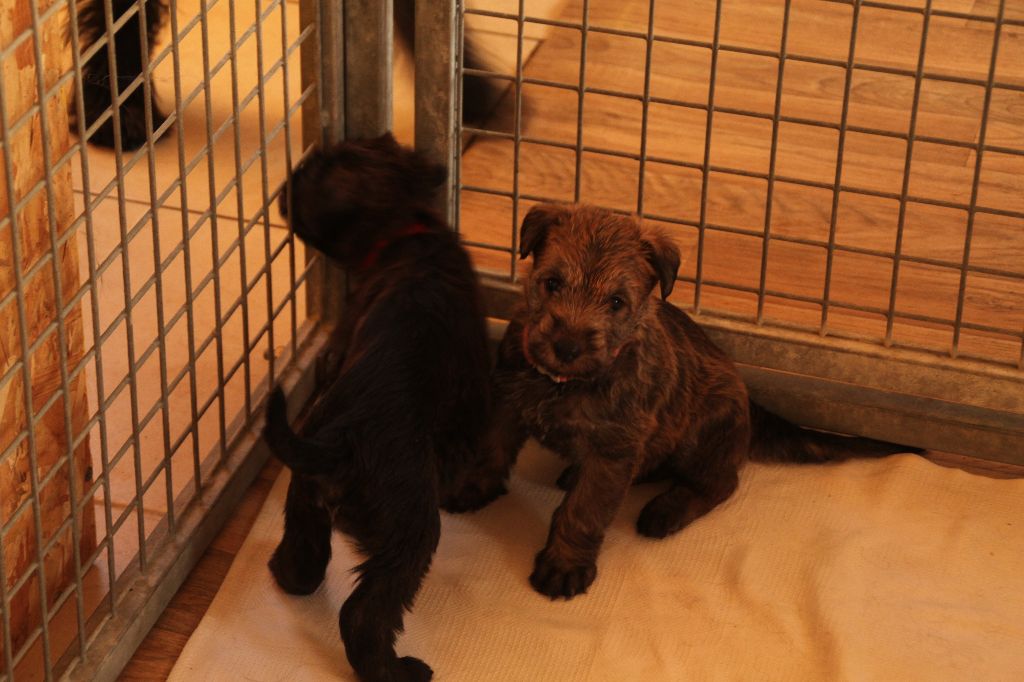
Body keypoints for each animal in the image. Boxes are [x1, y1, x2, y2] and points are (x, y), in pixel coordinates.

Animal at [264, 134, 499, 679]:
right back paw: (398, 670)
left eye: (309, 172)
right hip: (409, 533)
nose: (283, 187)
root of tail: (339, 445)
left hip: (304, 494)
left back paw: (286, 573)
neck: (403, 231)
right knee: (364, 613)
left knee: (306, 553)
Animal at [483, 204, 925, 598]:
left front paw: (563, 566)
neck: (563, 383)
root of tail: (751, 407)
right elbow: (493, 451)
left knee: (721, 481)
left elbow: (583, 511)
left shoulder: (612, 451)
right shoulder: (505, 403)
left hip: (702, 434)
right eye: (552, 284)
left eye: (616, 302)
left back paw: (667, 510)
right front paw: (475, 489)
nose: (567, 346)